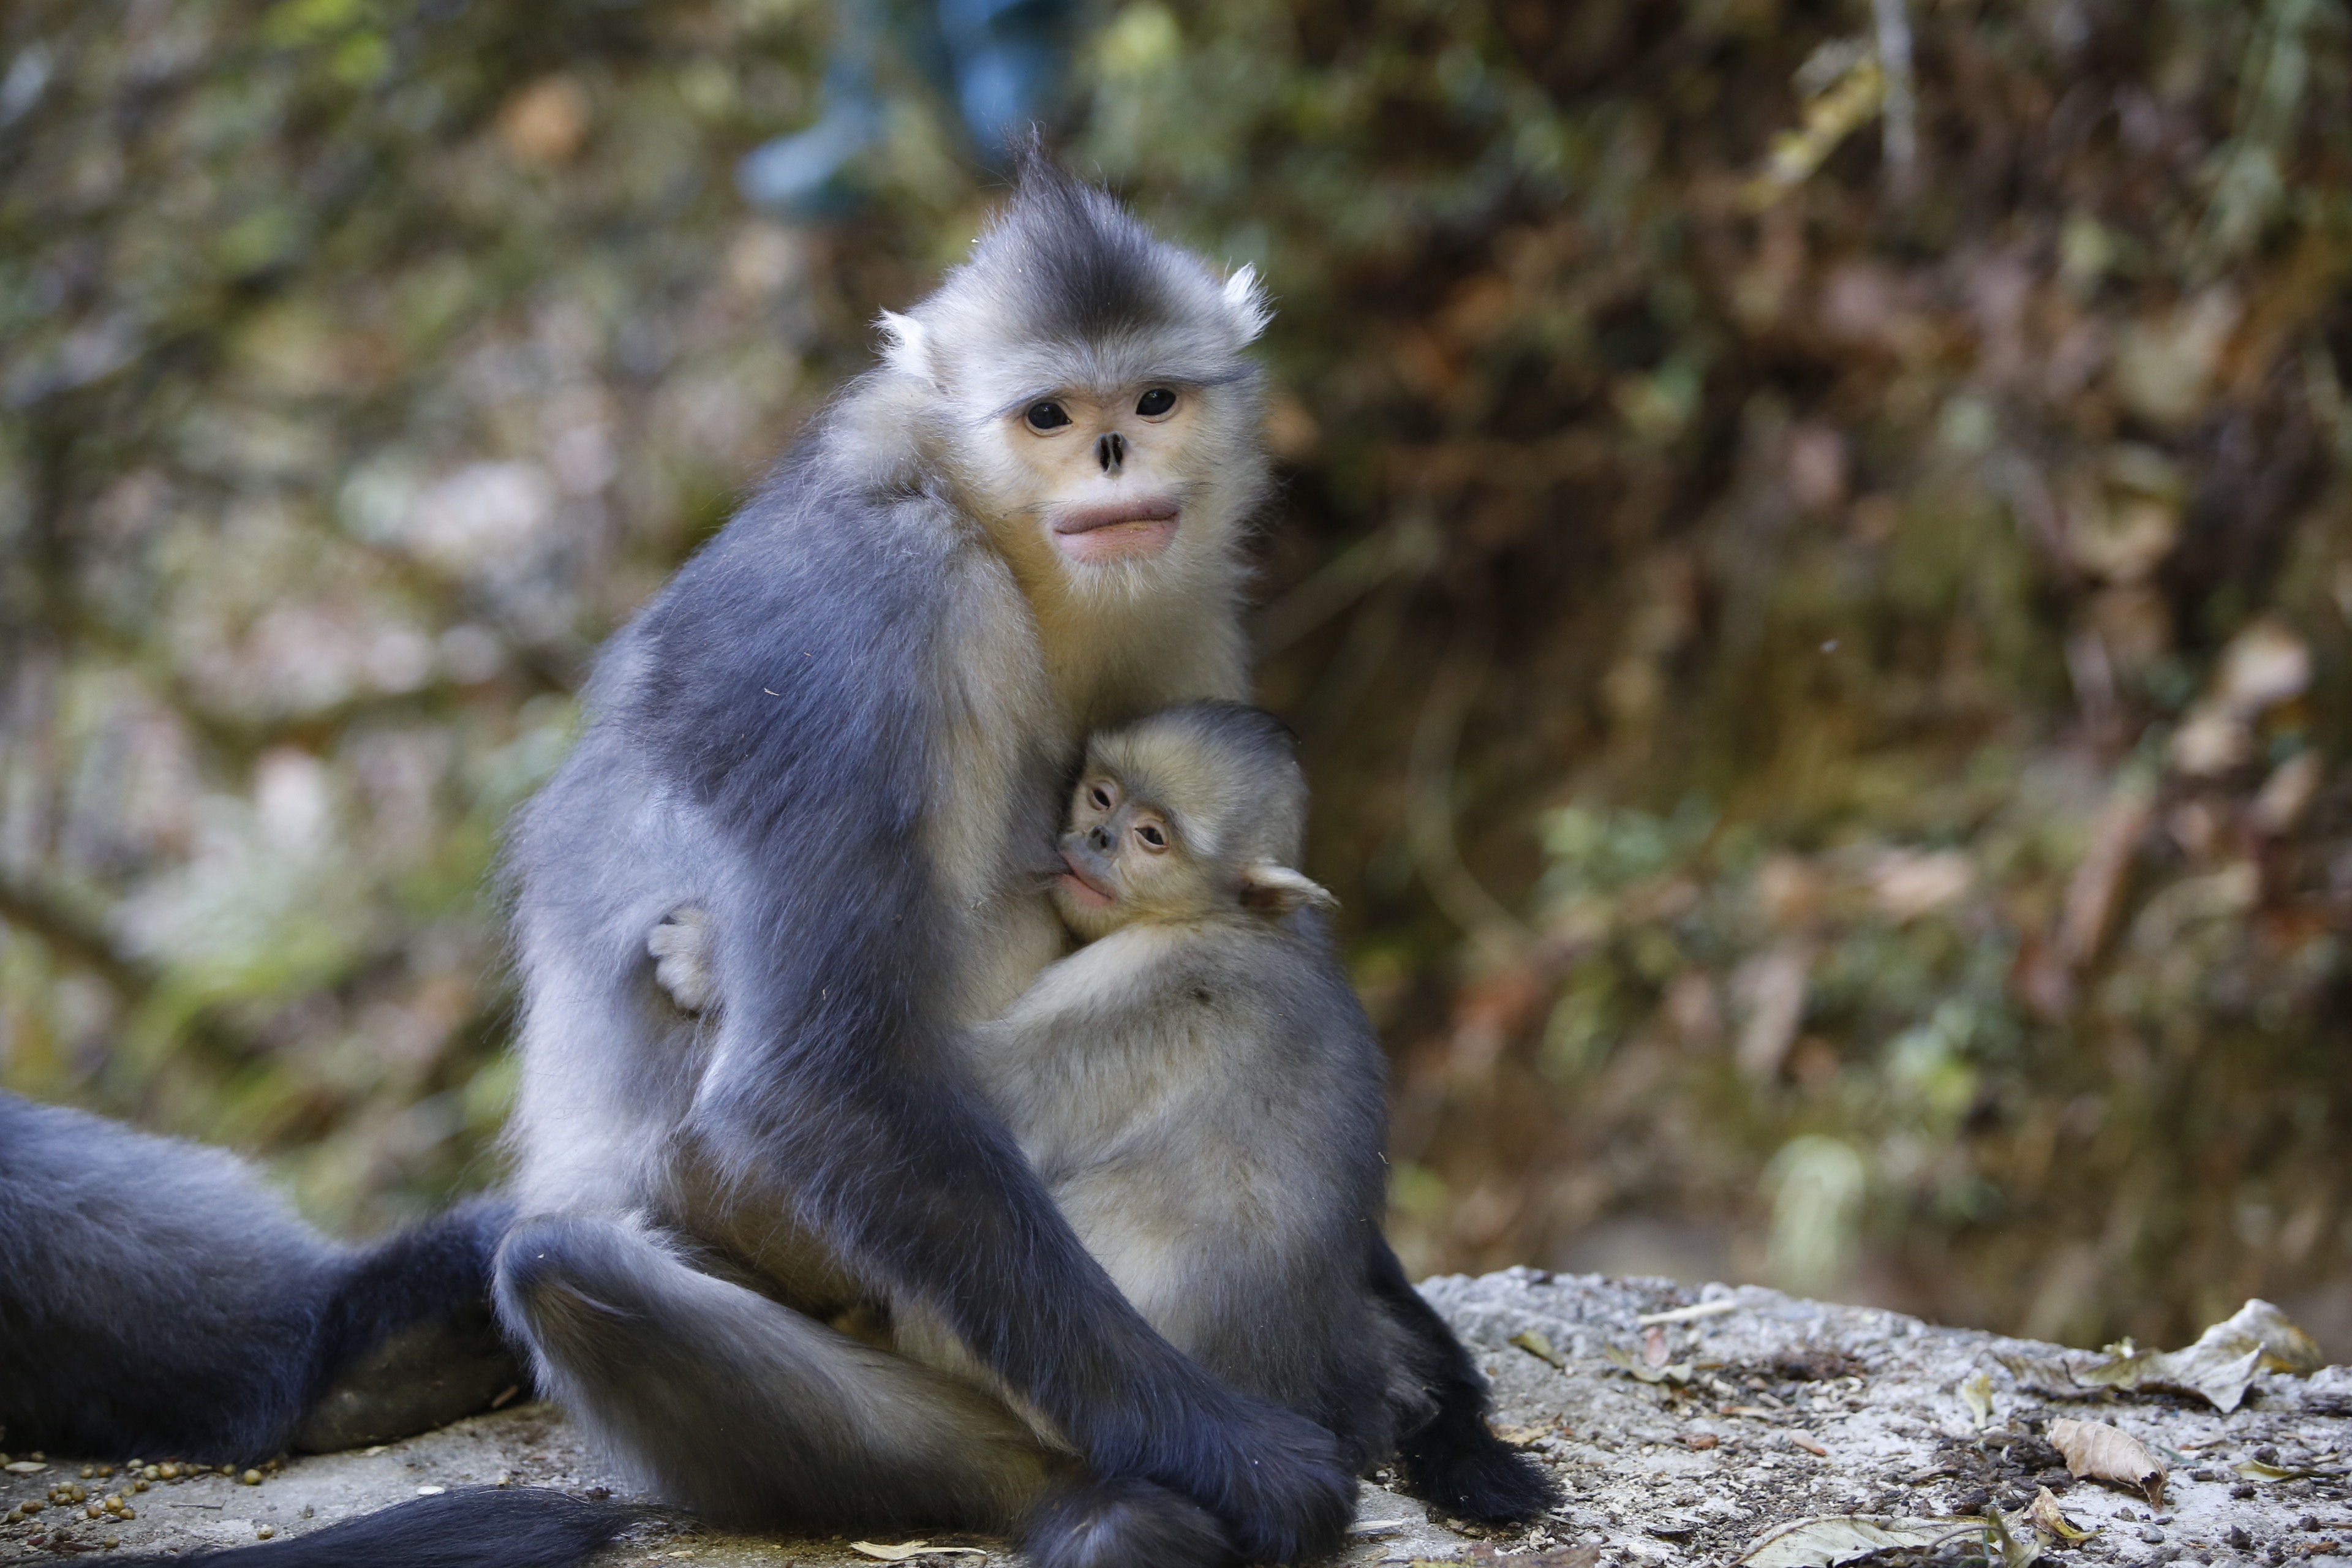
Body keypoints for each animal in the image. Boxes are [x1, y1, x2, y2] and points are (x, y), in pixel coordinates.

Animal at [480, 152, 1361, 1568]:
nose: (1114, 453)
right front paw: (1255, 1462)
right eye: (1050, 415)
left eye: (1153, 399)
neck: (986, 530)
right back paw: (1080, 1498)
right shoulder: (872, 609)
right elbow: (819, 1084)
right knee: (569, 1265)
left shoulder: (1175, 600)